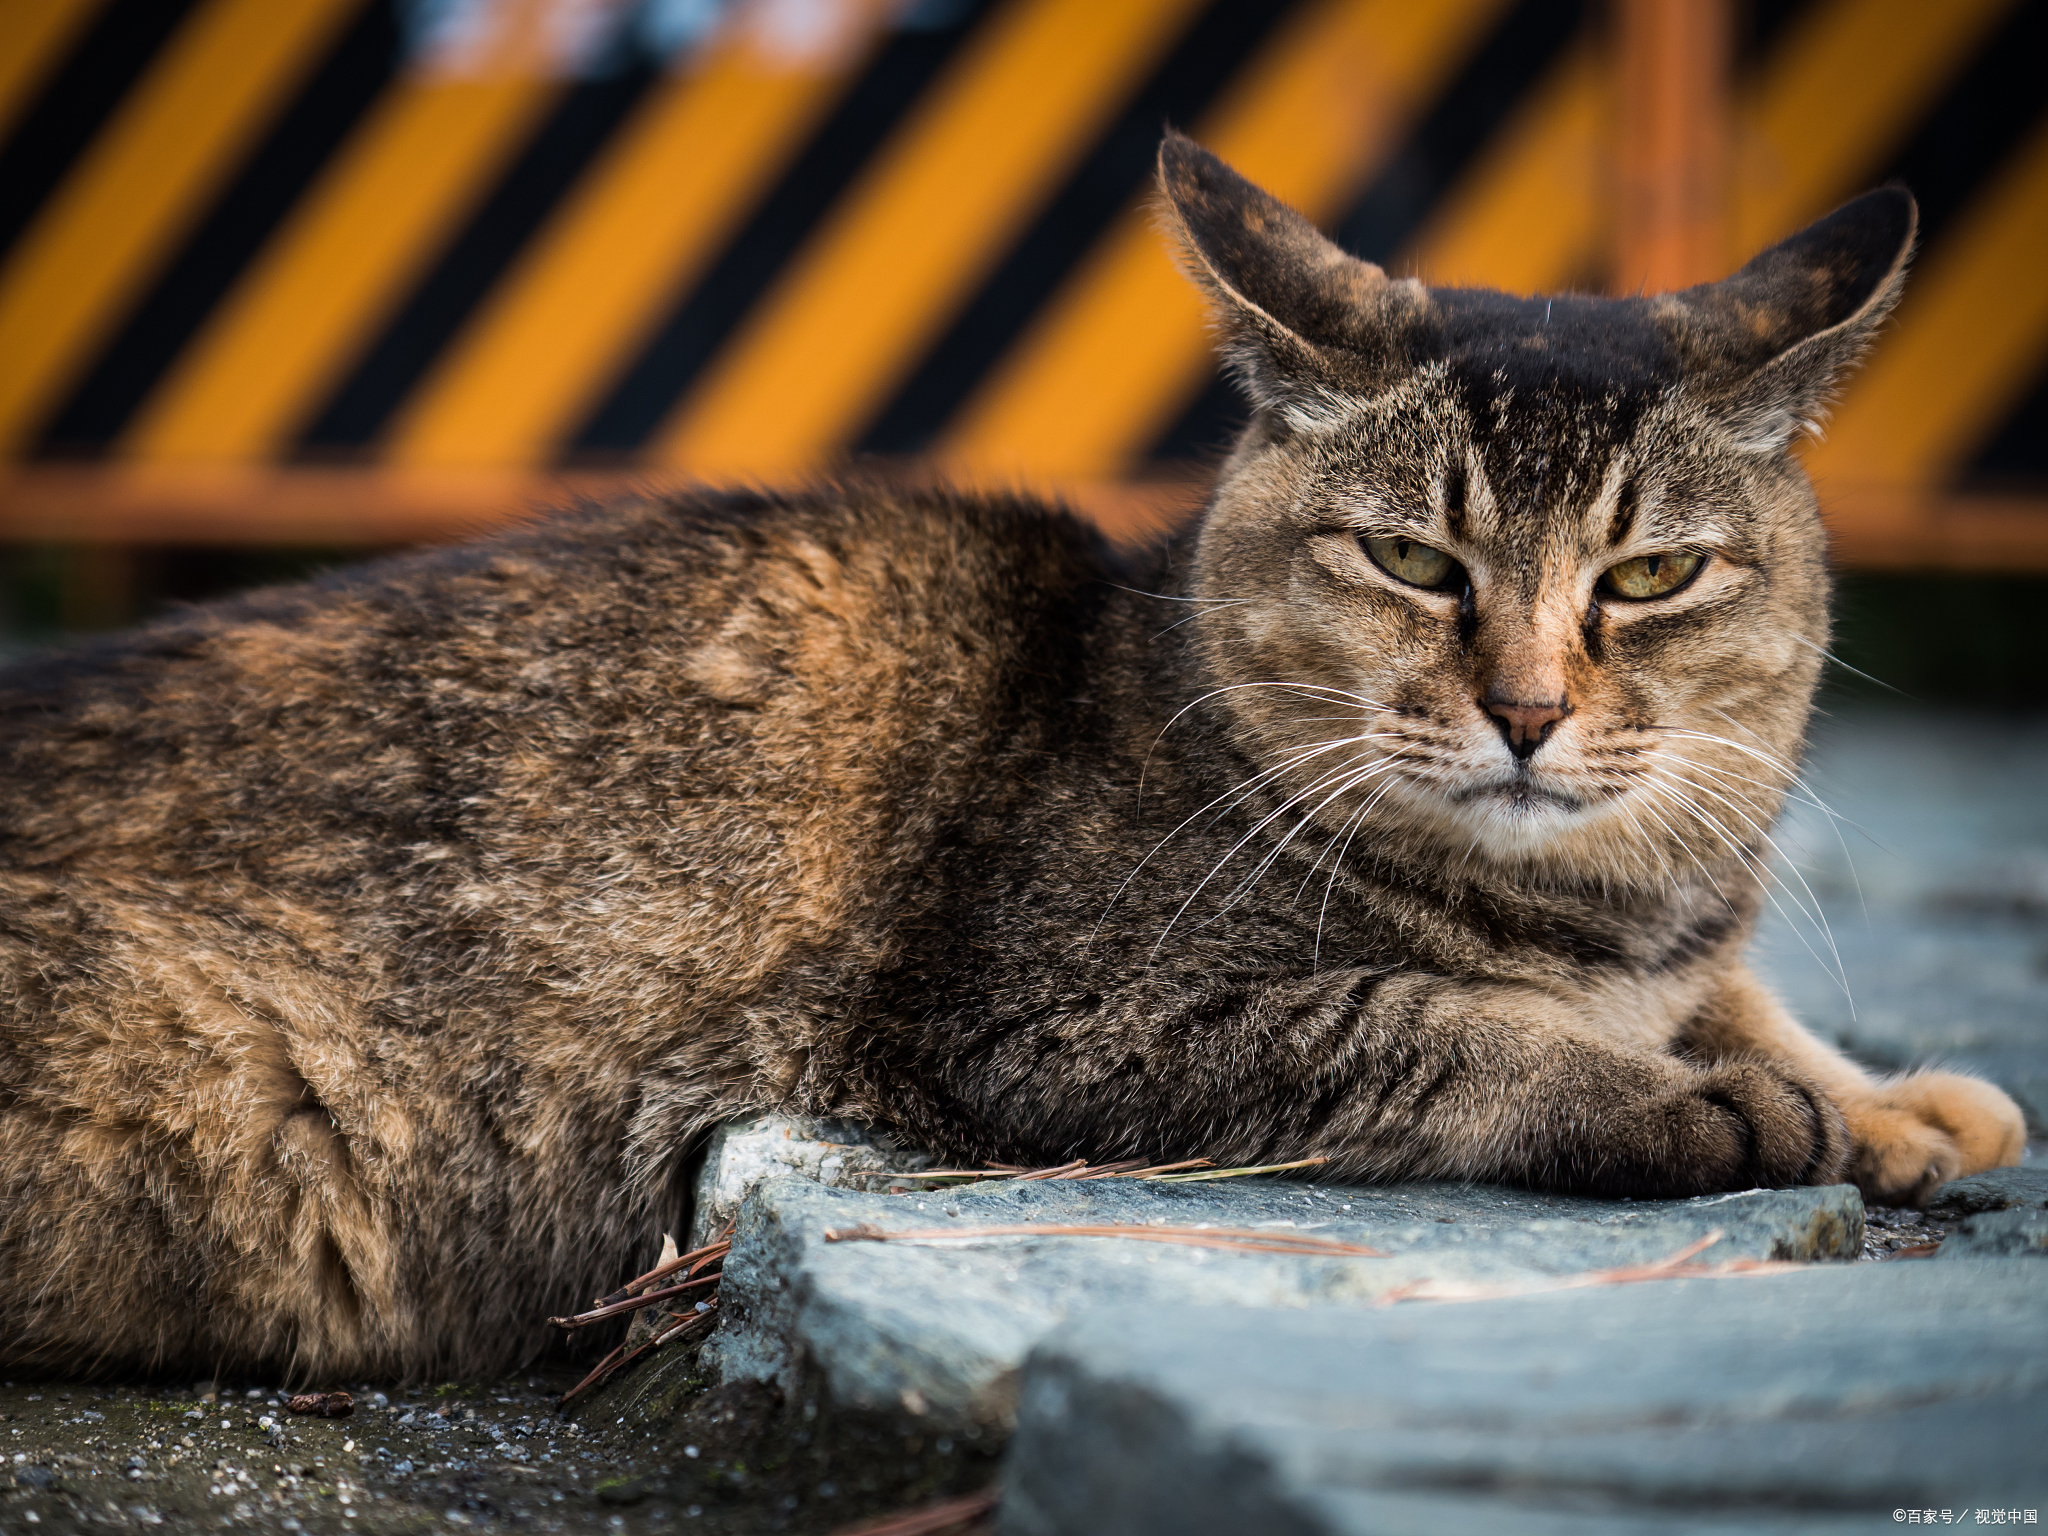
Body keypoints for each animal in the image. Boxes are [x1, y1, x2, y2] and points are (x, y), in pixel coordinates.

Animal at [0, 135, 2015, 1384]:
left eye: (1651, 576)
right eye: (1413, 561)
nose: (1526, 708)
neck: (1601, 912)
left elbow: (1756, 1008)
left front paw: (1898, 1097)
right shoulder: (1050, 1022)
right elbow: (1440, 1026)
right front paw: (1707, 1101)